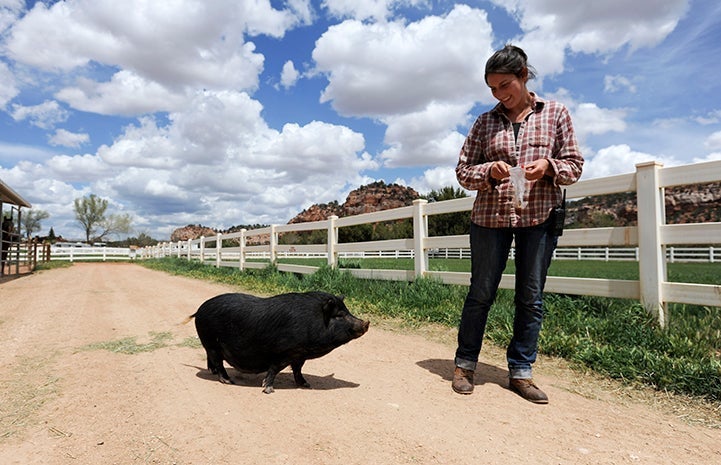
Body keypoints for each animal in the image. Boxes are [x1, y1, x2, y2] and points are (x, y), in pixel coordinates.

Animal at [186, 290, 368, 392]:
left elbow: (298, 370)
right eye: (339, 315)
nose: (366, 323)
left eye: (347, 311)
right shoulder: (284, 352)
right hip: (211, 342)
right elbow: (274, 369)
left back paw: (213, 373)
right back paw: (228, 381)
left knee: (212, 360)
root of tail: (199, 310)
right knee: (218, 361)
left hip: (210, 344)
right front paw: (268, 389)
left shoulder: (299, 354)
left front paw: (306, 385)